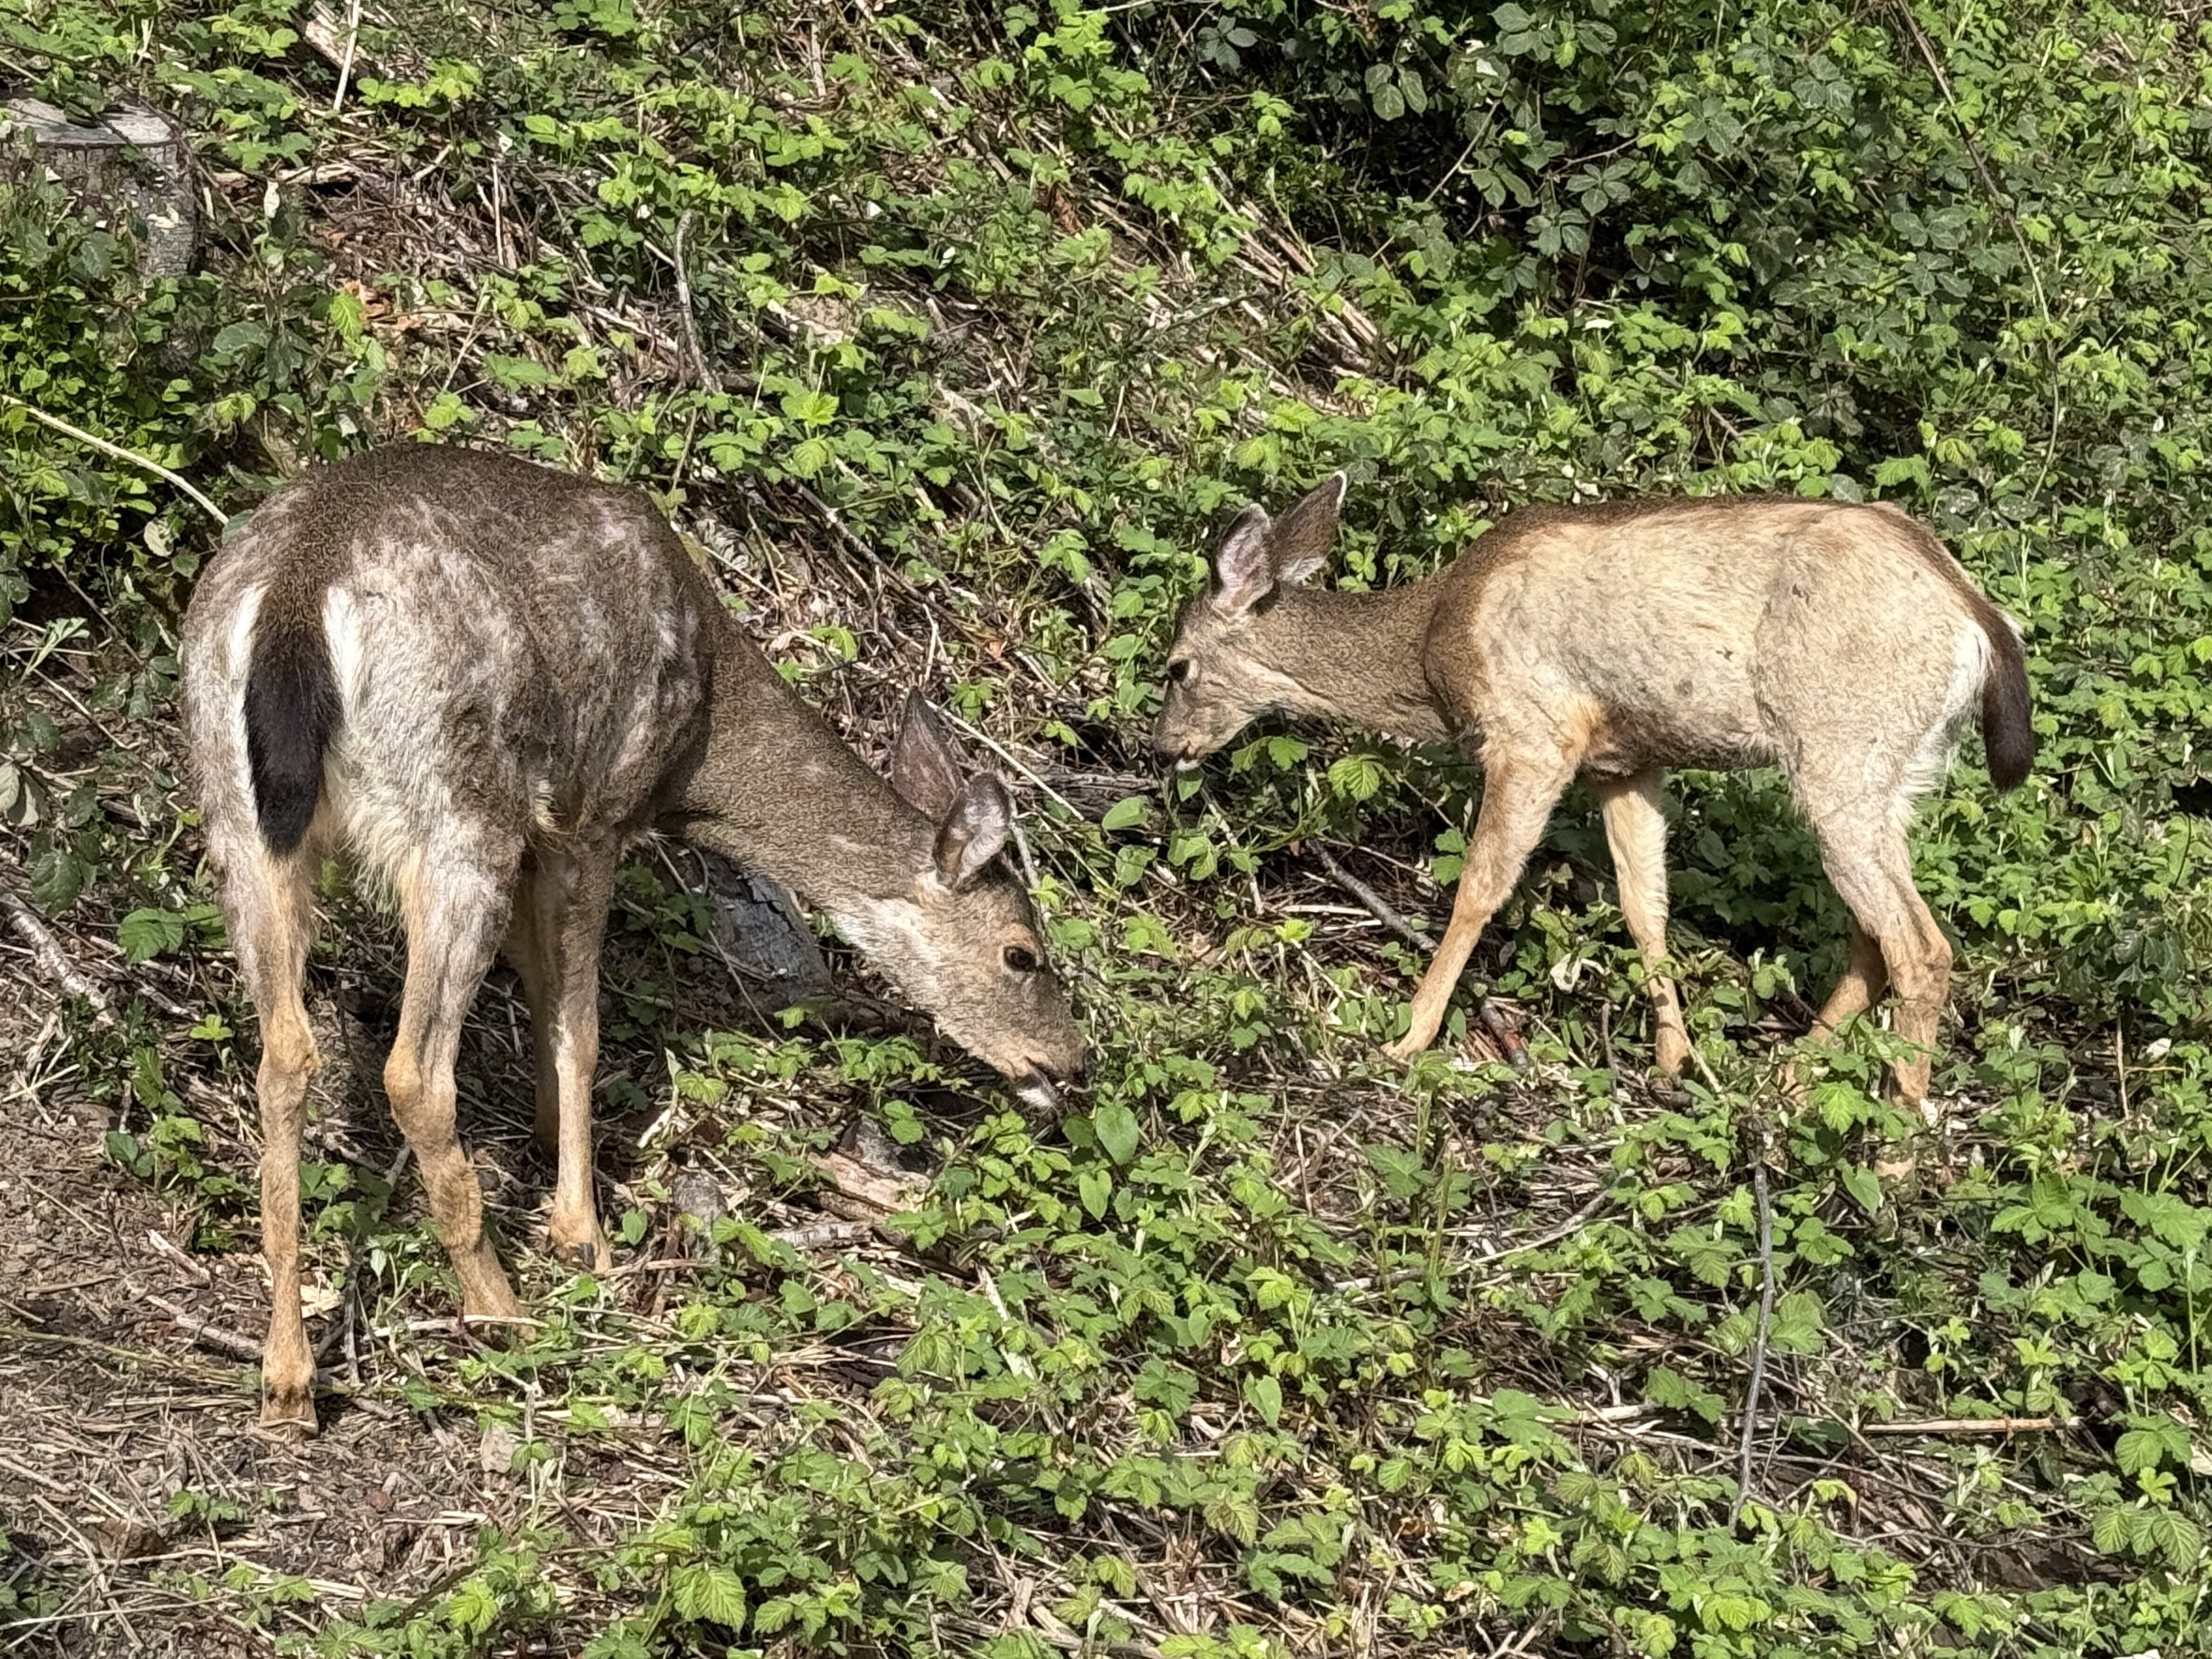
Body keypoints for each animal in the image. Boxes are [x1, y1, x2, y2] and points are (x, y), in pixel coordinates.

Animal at [180, 444, 1087, 1437]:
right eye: (1022, 952)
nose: (1070, 1060)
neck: (699, 751)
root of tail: (298, 593)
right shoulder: (592, 811)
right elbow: (578, 1022)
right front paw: (581, 1231)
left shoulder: (547, 830)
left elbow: (542, 986)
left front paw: (547, 1141)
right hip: (456, 813)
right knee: (413, 1071)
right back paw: (500, 1308)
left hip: (237, 807)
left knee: (286, 1052)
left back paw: (288, 1377)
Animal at [1153, 475, 2034, 1107]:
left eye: (1177, 666)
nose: (1165, 747)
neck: (1434, 647)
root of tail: (1979, 623)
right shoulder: (1624, 761)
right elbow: (1647, 906)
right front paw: (1674, 1059)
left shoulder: (1534, 732)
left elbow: (1481, 886)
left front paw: (1408, 1037)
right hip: (1893, 772)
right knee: (1874, 935)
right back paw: (1785, 1078)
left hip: (1841, 744)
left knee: (1921, 945)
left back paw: (1896, 1141)